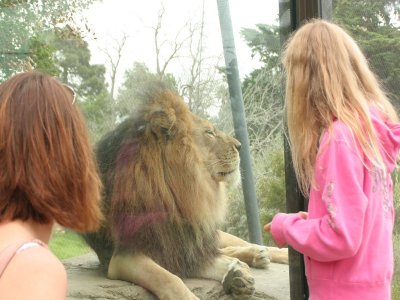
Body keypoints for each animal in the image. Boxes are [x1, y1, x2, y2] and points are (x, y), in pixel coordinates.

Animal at [83, 85, 288, 300]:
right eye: (209, 132)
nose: (240, 146)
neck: (176, 197)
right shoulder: (125, 255)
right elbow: (168, 278)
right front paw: (236, 276)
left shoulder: (187, 246)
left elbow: (215, 259)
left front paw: (238, 274)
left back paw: (268, 253)